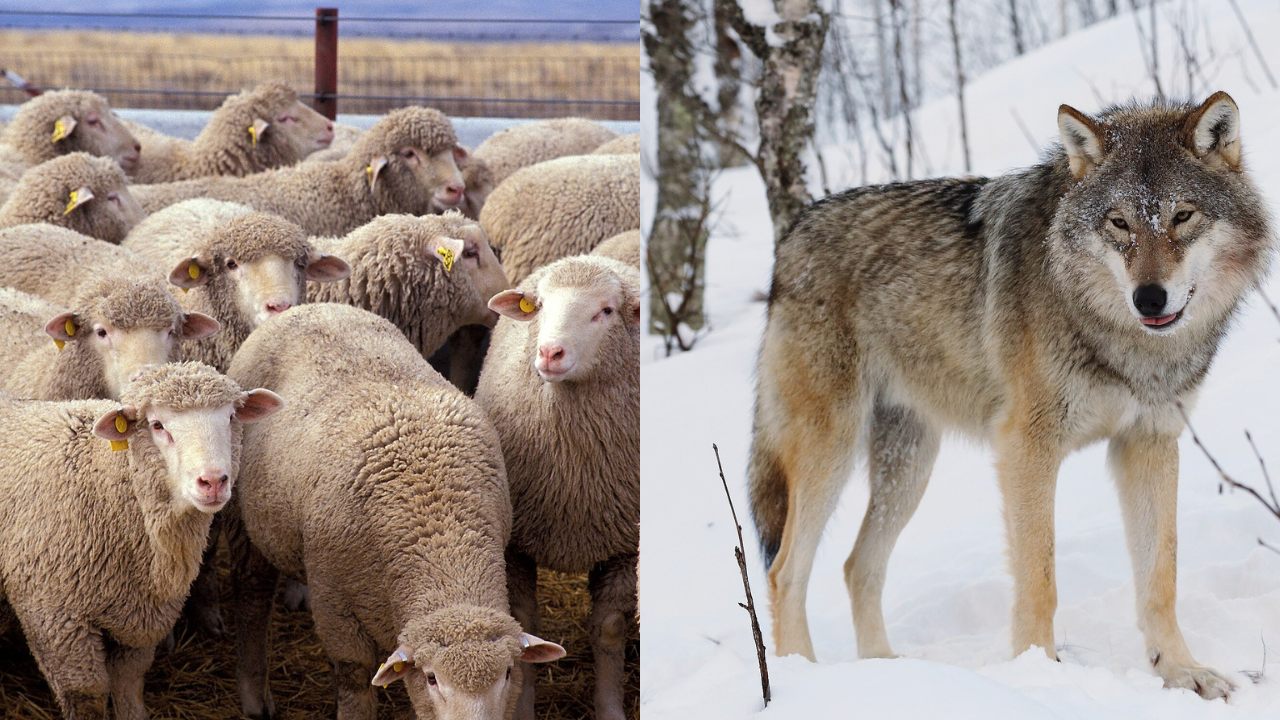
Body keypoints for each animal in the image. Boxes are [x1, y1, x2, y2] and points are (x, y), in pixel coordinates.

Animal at [0, 361, 281, 720]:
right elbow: (87, 696)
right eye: (157, 425)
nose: (214, 481)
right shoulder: (53, 617)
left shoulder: (140, 618)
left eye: (231, 417)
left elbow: (128, 686)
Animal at [225, 302, 565, 720]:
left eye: (507, 674)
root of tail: (313, 307)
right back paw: (254, 694)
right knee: (252, 597)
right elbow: (354, 678)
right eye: (432, 678)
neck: (441, 531)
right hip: (243, 520)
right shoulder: (336, 607)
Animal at [474, 255, 640, 720]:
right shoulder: (515, 544)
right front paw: (523, 707)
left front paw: (609, 707)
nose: (550, 353)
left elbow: (609, 629)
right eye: (541, 305)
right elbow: (524, 624)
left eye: (606, 311)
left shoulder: (625, 544)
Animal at [747, 91, 1272, 699]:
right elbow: (1039, 578)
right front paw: (1040, 674)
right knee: (785, 571)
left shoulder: (1149, 443)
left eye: (1182, 216)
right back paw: (802, 680)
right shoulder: (1027, 447)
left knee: (859, 566)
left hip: (909, 467)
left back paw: (889, 673)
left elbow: (1160, 578)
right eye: (1118, 223)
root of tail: (793, 234)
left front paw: (1181, 672)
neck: (1121, 341)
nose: (1148, 297)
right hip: (829, 453)